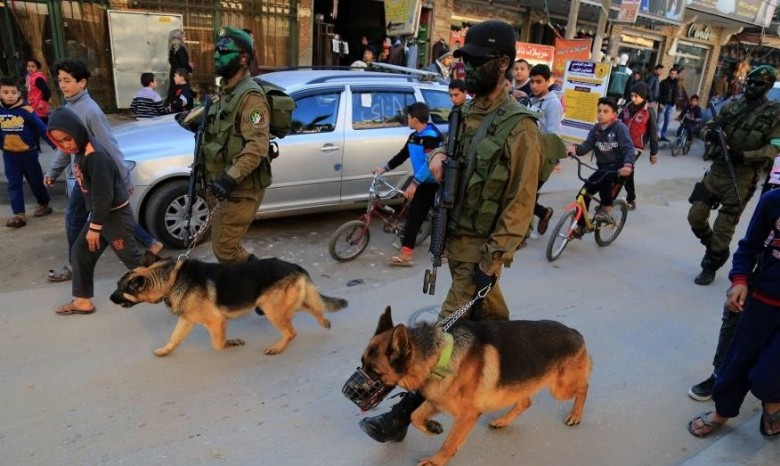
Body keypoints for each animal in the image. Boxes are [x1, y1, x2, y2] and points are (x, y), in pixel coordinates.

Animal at [110, 255, 347, 356]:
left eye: (121, 289)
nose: (110, 299)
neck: (171, 279)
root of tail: (296, 267)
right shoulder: (187, 320)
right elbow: (174, 338)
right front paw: (165, 350)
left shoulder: (216, 321)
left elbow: (218, 344)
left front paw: (232, 343)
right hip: (282, 305)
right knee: (312, 307)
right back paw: (324, 321)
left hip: (272, 308)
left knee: (291, 331)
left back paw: (277, 347)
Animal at [360, 307, 591, 466]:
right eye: (361, 363)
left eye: (374, 372)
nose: (352, 392)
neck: (439, 358)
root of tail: (574, 332)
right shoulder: (437, 399)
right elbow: (414, 416)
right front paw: (433, 427)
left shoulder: (467, 415)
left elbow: (449, 442)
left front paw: (436, 460)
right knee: (525, 402)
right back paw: (502, 420)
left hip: (560, 388)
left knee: (583, 387)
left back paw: (575, 415)